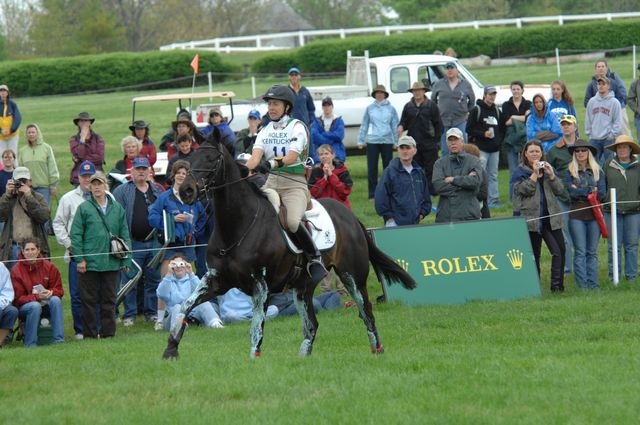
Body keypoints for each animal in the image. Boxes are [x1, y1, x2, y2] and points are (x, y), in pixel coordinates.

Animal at [162, 136, 418, 358]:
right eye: (190, 158)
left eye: (211, 159)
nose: (186, 191)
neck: (237, 226)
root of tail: (351, 217)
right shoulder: (216, 279)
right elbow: (185, 306)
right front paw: (171, 349)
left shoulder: (261, 284)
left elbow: (256, 327)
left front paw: (254, 359)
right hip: (303, 286)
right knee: (311, 324)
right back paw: (303, 357)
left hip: (352, 276)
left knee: (366, 312)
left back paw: (378, 349)